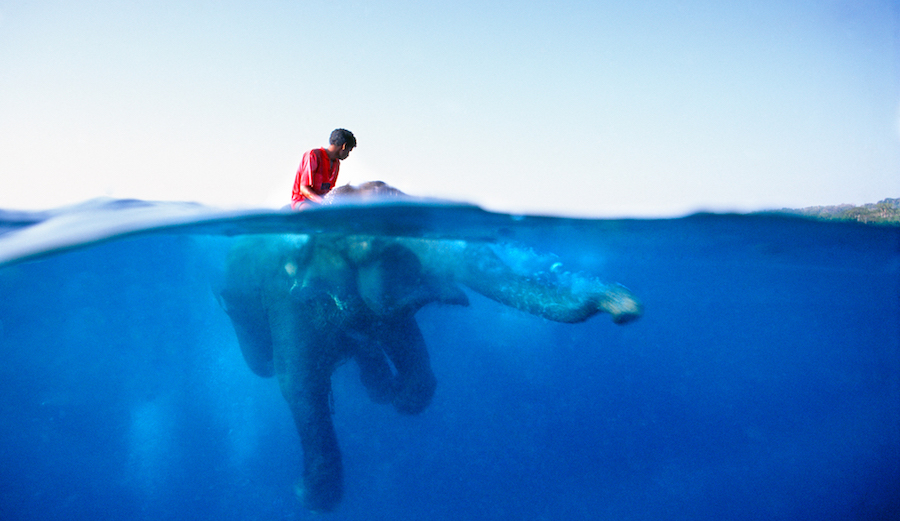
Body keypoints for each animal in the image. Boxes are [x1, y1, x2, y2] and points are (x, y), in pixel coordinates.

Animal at [218, 183, 642, 512]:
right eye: (371, 244)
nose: (627, 308)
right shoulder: (285, 295)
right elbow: (299, 383)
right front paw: (309, 496)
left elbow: (406, 341)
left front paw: (401, 397)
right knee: (264, 363)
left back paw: (379, 386)